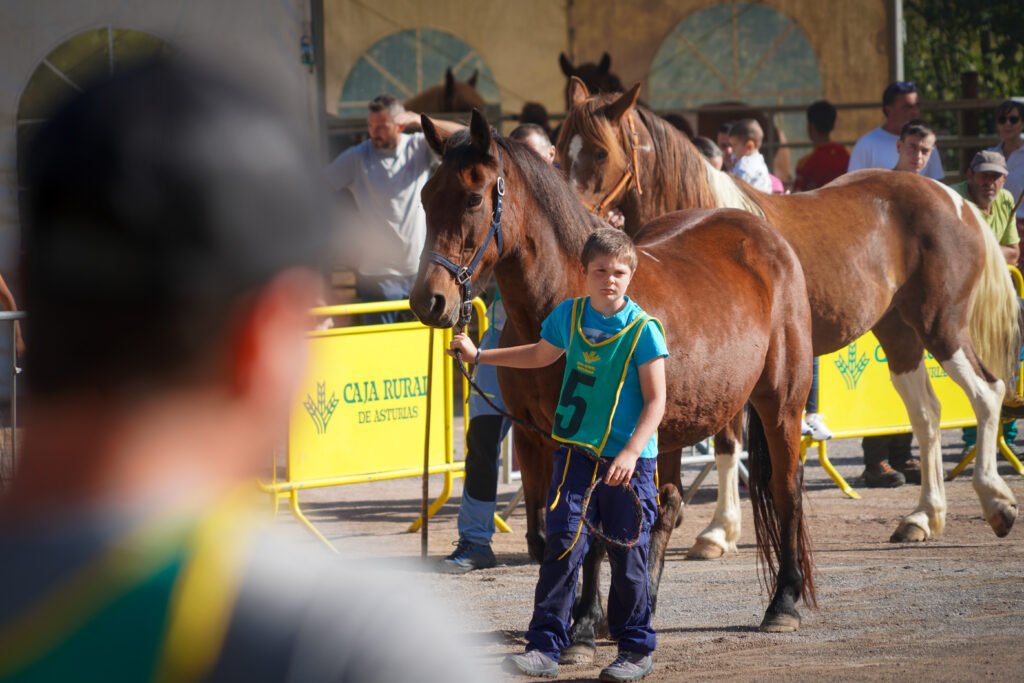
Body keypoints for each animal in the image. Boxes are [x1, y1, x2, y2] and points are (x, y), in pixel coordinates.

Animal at [410, 108, 817, 640]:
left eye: (473, 197)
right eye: (424, 197)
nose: (429, 301)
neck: (565, 305)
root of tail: (765, 236)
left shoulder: (595, 440)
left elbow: (592, 532)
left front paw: (583, 622)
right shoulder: (533, 437)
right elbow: (548, 534)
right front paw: (571, 619)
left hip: (780, 403)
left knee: (786, 490)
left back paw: (783, 602)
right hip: (669, 428)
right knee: (666, 504)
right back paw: (641, 606)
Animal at [556, 78, 1022, 560]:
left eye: (600, 152)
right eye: (558, 147)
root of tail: (954, 200)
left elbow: (729, 443)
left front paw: (717, 531)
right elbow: (725, 444)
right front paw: (717, 530)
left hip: (941, 324)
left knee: (986, 394)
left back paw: (996, 503)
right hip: (899, 333)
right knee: (927, 415)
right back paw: (923, 517)